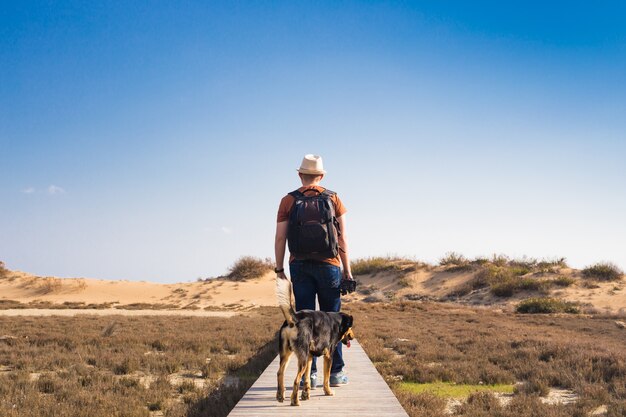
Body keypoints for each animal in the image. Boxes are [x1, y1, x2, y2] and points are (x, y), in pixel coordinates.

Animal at [276, 274, 354, 404]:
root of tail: (295, 318)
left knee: (280, 373)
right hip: (301, 358)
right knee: (296, 380)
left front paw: (305, 394)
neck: (337, 322)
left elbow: (307, 378)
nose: (353, 337)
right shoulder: (328, 356)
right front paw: (328, 392)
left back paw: (280, 395)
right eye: (351, 327)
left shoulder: (310, 356)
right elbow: (326, 378)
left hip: (287, 354)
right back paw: (294, 401)